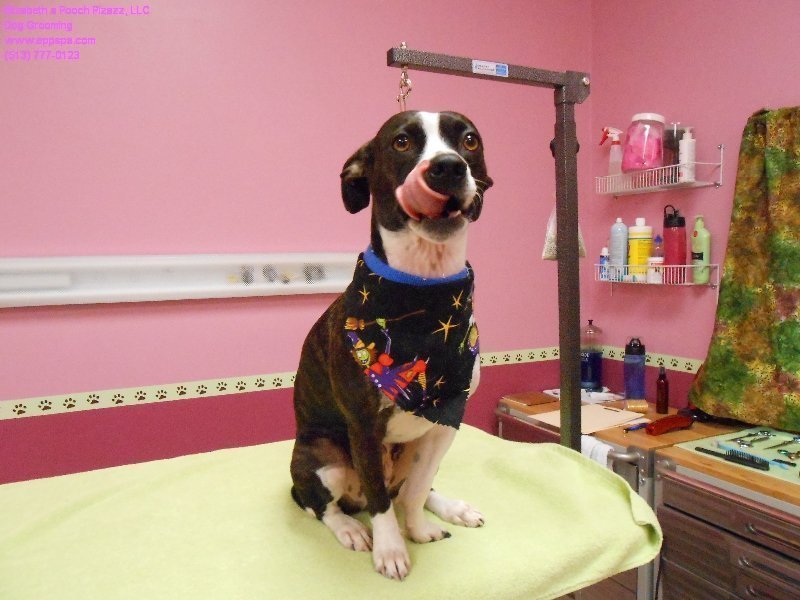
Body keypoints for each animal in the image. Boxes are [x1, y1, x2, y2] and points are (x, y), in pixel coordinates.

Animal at [290, 111, 492, 580]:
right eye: (401, 142)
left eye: (469, 140)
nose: (448, 167)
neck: (423, 289)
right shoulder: (364, 426)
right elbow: (383, 501)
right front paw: (391, 549)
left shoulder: (445, 421)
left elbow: (415, 489)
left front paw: (417, 529)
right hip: (323, 456)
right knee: (324, 505)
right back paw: (350, 528)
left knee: (411, 486)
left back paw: (451, 507)